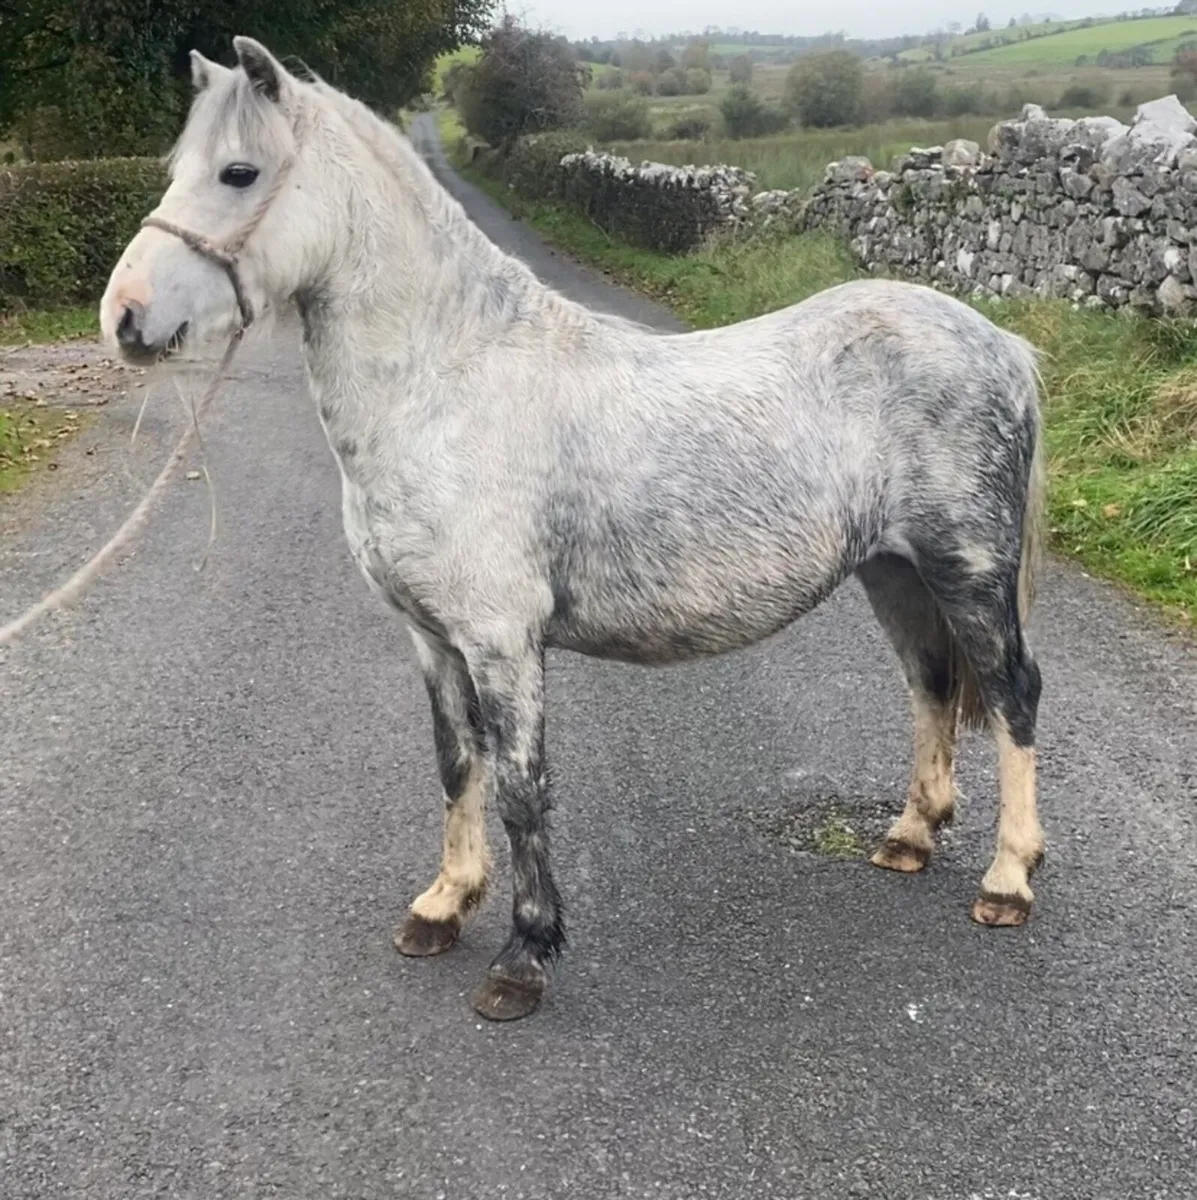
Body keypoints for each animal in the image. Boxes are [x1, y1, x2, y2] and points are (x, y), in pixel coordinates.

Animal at [101, 38, 1047, 1022]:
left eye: (239, 173)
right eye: (176, 168)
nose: (123, 316)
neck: (447, 383)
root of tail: (1000, 344)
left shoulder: (501, 641)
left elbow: (522, 787)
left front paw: (523, 954)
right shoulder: (430, 639)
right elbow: (457, 767)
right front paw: (442, 906)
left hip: (967, 570)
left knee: (1010, 693)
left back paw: (1006, 880)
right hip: (893, 572)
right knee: (931, 684)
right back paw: (909, 837)